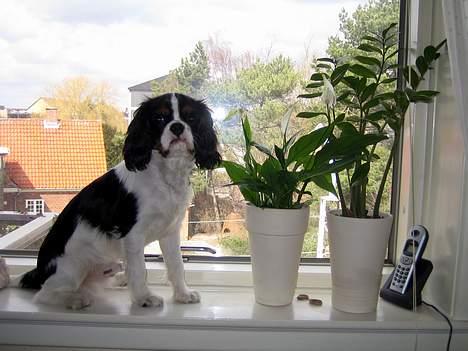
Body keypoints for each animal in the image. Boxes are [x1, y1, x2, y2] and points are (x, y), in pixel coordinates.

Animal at [13, 93, 221, 310]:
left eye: (191, 118)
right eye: (160, 118)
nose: (177, 127)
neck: (165, 174)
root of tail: (39, 271)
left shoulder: (170, 232)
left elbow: (176, 265)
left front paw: (182, 294)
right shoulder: (133, 234)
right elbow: (139, 269)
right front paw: (143, 298)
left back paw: (120, 279)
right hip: (74, 263)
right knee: (45, 294)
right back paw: (76, 299)